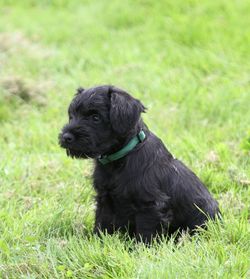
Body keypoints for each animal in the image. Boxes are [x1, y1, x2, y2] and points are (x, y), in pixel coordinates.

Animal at [58, 86, 219, 244]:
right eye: (71, 116)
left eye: (95, 117)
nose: (66, 137)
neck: (119, 159)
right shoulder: (104, 198)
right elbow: (102, 223)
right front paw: (98, 242)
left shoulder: (150, 205)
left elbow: (146, 232)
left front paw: (142, 249)